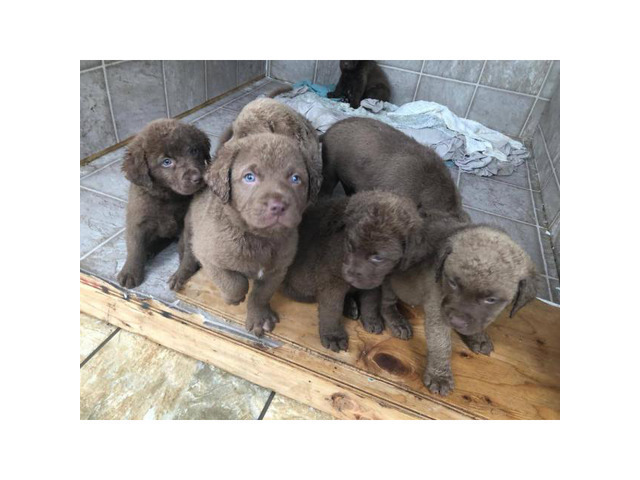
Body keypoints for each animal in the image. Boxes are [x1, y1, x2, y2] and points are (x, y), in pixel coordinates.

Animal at [116, 119, 211, 288]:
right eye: (167, 162)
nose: (198, 178)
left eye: (194, 151)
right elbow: (134, 248)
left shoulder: (189, 222)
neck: (168, 197)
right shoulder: (137, 219)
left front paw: (182, 274)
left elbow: (188, 250)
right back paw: (148, 250)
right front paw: (130, 272)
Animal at [169, 99, 322, 336]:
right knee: (188, 254)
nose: (277, 206)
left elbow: (260, 294)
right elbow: (234, 282)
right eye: (249, 177)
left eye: (296, 179)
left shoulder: (277, 269)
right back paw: (179, 275)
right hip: (192, 229)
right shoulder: (210, 255)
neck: (258, 237)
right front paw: (233, 298)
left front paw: (259, 318)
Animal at [282, 191, 428, 352]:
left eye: (377, 258)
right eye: (350, 245)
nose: (349, 276)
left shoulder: (373, 282)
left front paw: (371, 319)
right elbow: (332, 309)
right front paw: (333, 335)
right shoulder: (332, 281)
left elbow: (370, 301)